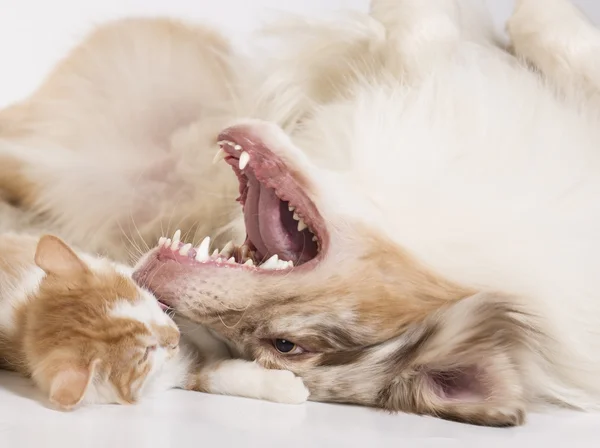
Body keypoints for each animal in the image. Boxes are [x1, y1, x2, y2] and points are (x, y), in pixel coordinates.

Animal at [0, 233, 308, 412]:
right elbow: (218, 376)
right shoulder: (176, 373)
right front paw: (288, 388)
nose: (174, 337)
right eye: (145, 354)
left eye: (140, 300)